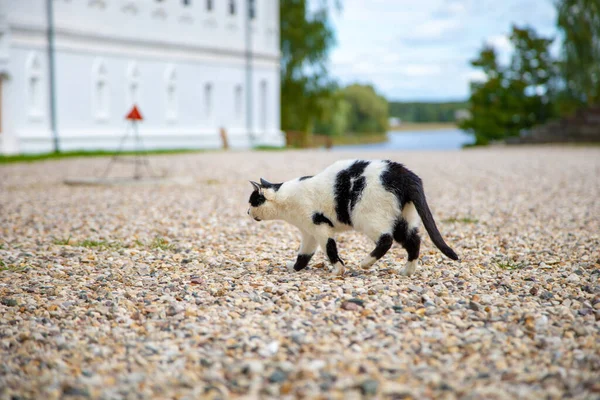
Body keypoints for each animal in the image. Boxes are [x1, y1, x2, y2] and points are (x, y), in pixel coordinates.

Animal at [246, 159, 458, 276]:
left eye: (251, 202)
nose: (247, 212)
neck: (286, 198)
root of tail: (406, 174)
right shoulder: (309, 233)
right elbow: (304, 255)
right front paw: (295, 268)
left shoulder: (320, 227)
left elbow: (330, 249)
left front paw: (338, 270)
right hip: (402, 221)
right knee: (414, 241)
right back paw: (407, 271)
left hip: (368, 218)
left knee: (386, 240)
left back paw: (365, 263)